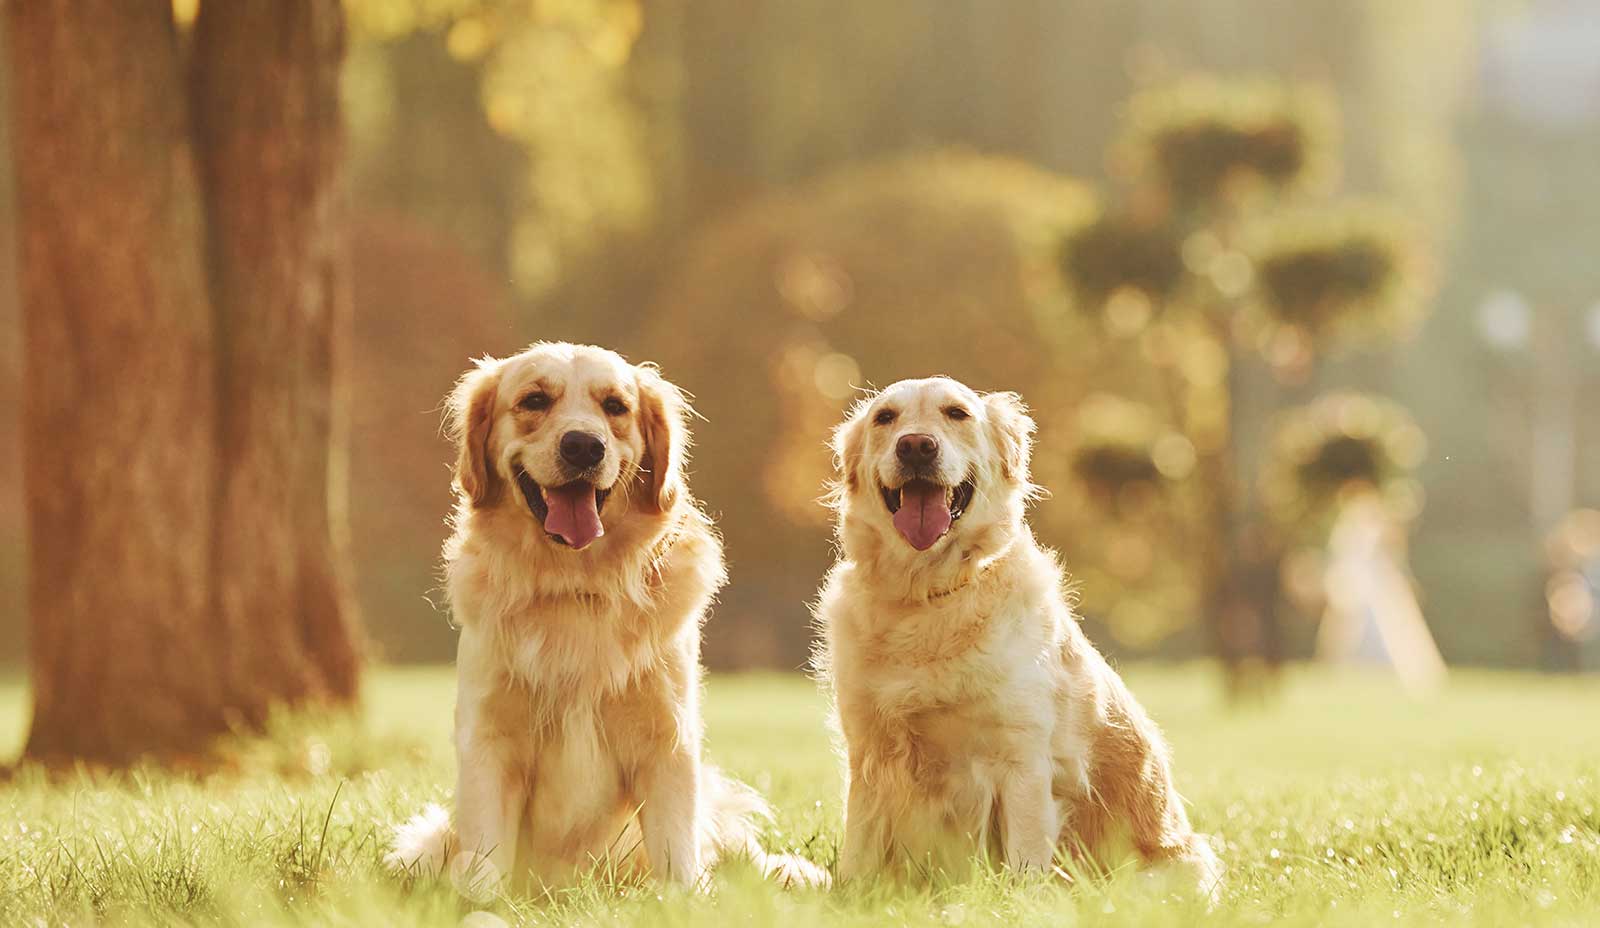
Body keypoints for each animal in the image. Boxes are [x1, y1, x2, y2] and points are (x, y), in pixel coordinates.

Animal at [812, 372, 1222, 896]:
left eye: (957, 413)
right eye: (885, 417)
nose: (917, 446)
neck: (928, 593)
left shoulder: (1022, 762)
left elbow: (1025, 865)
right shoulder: (868, 756)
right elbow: (858, 857)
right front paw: (852, 898)